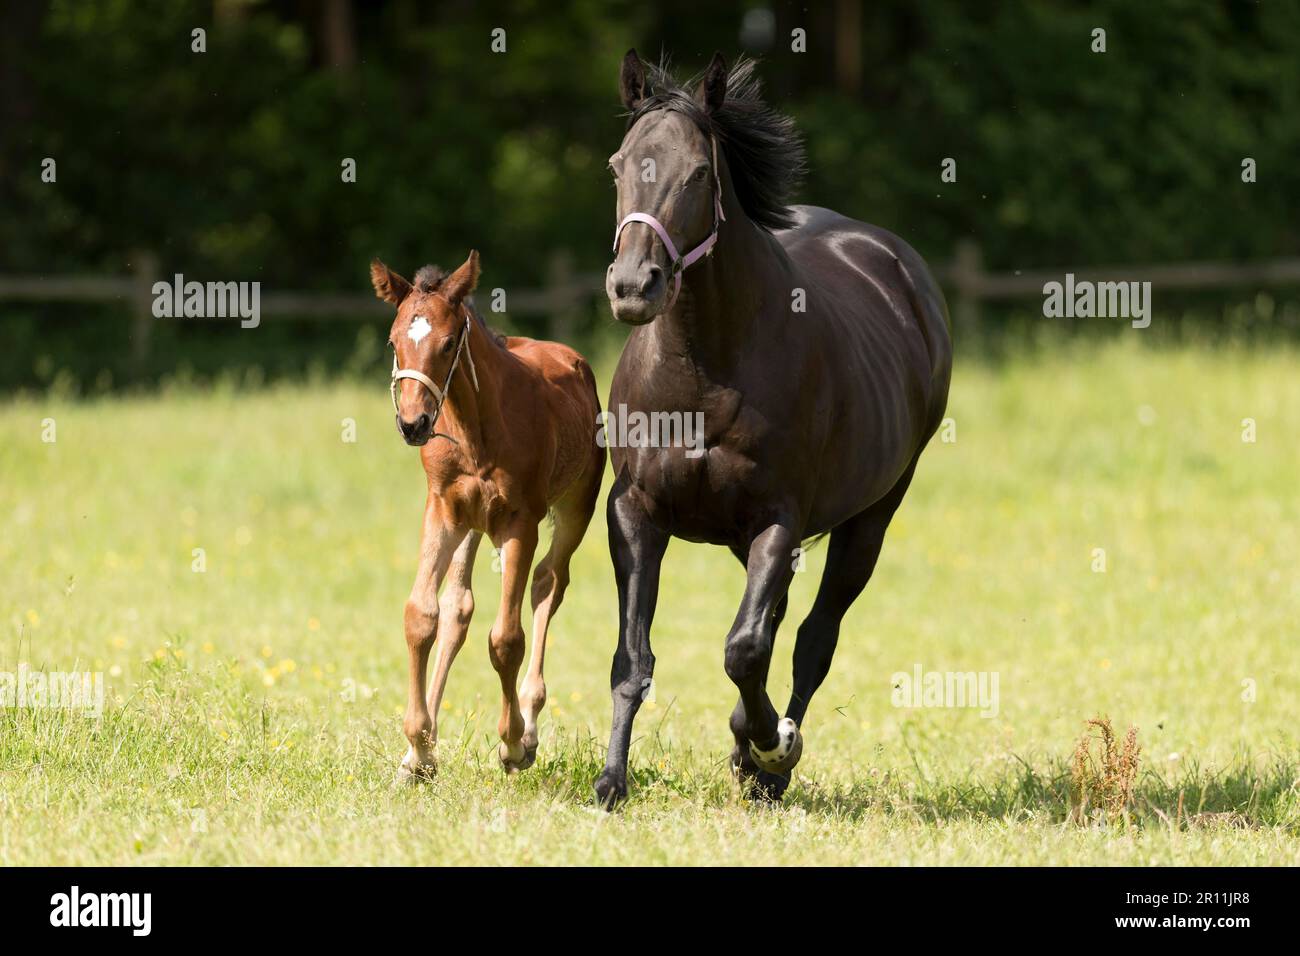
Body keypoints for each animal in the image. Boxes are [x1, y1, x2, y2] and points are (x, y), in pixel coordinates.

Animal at [371, 251, 603, 780]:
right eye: (393, 342)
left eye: (448, 343)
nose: (412, 424)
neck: (475, 428)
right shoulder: (442, 509)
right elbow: (422, 615)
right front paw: (418, 749)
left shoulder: (520, 523)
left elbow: (507, 639)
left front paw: (513, 743)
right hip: (472, 526)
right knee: (458, 607)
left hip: (575, 506)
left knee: (549, 583)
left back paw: (530, 724)